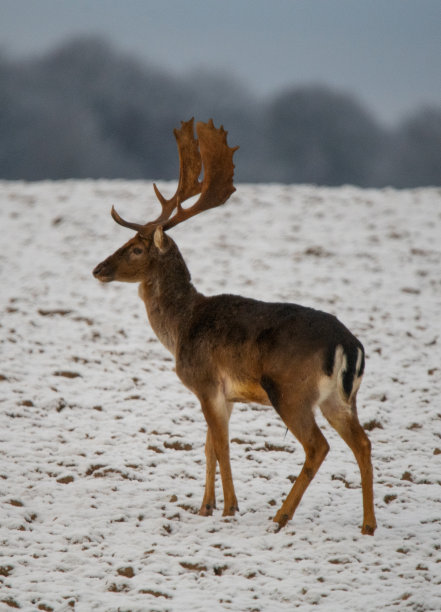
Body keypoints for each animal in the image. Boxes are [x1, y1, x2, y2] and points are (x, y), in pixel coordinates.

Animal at [92, 117, 374, 532]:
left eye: (137, 248)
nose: (98, 268)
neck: (182, 327)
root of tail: (349, 346)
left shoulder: (207, 382)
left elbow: (222, 446)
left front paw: (229, 509)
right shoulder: (224, 394)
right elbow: (209, 445)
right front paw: (204, 507)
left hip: (290, 390)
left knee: (318, 446)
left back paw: (281, 515)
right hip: (340, 398)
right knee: (363, 442)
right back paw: (368, 525)